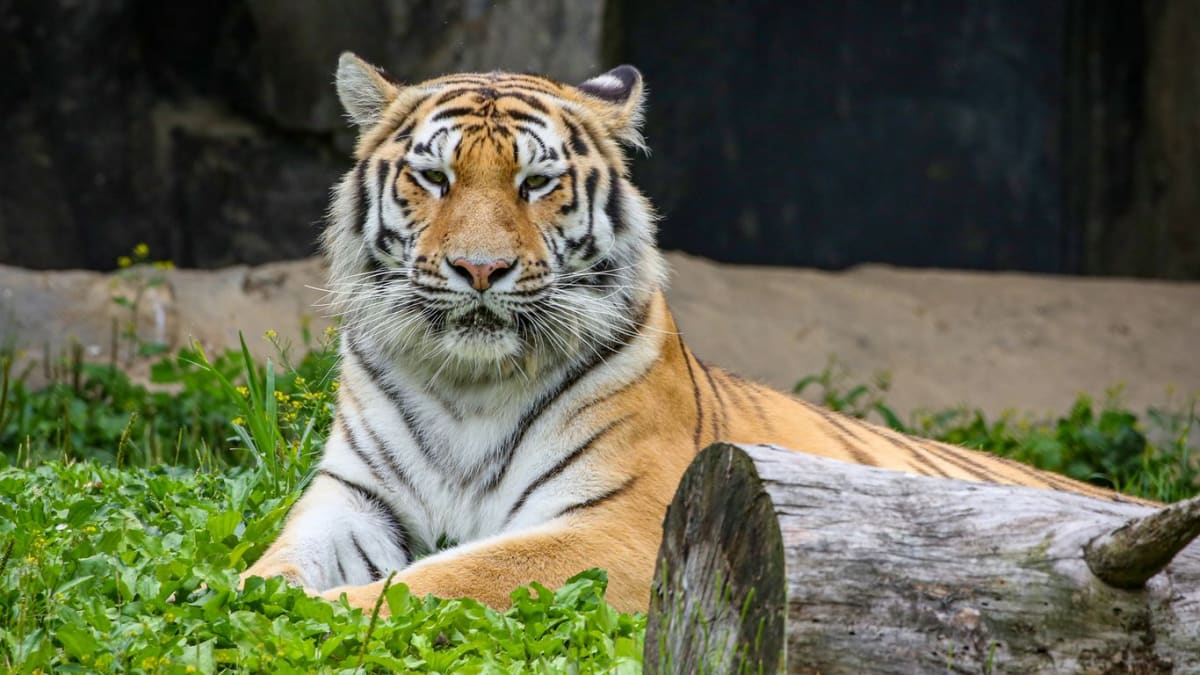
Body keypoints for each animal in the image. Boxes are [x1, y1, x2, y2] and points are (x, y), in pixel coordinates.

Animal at [241, 52, 1135, 614]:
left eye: (536, 183)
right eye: (433, 177)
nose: (480, 269)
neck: (470, 382)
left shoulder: (623, 522)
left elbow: (444, 578)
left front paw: (332, 611)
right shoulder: (353, 499)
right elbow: (269, 566)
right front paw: (237, 594)